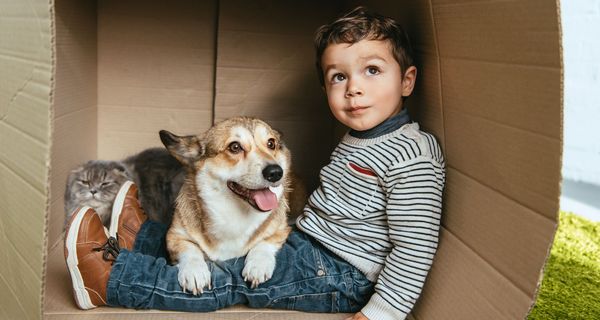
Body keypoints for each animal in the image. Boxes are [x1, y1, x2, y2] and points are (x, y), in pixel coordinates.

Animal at [158, 116, 292, 294]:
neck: (236, 213)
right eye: (235, 147)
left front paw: (258, 265)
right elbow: (190, 249)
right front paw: (195, 271)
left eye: (271, 143)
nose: (276, 172)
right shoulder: (174, 235)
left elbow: (264, 243)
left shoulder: (281, 229)